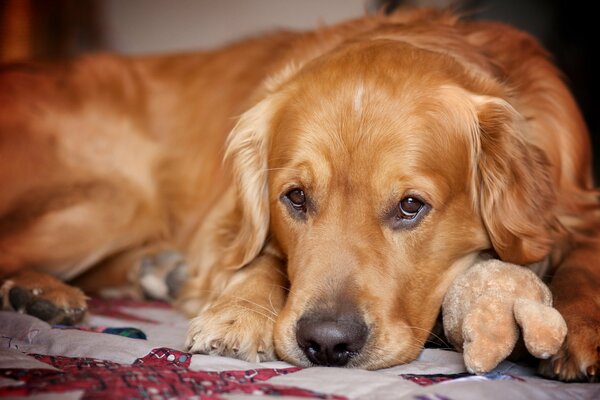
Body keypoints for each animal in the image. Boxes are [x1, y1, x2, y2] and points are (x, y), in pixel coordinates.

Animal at [1, 8, 600, 382]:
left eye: (411, 206)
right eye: (294, 198)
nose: (327, 343)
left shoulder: (578, 201)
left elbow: (585, 257)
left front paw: (581, 329)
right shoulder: (224, 227)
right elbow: (259, 256)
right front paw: (239, 312)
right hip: (114, 199)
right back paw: (40, 292)